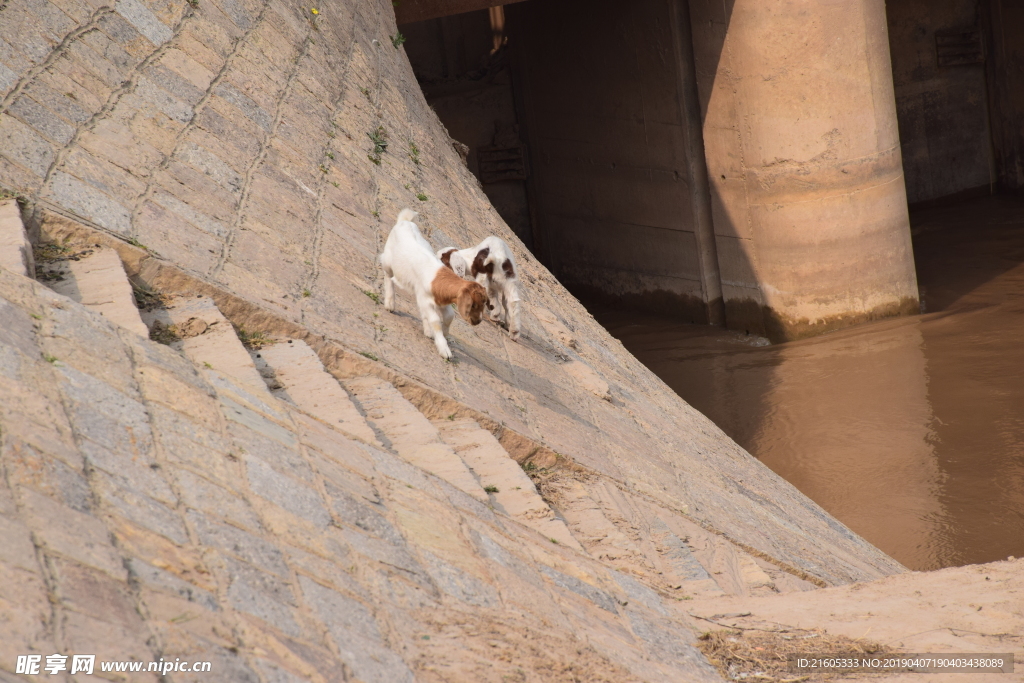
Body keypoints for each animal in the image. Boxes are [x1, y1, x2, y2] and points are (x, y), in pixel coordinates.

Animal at [380, 209, 487, 360]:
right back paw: (389, 304)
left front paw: (444, 333)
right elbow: (435, 321)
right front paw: (444, 350)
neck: (437, 279)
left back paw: (427, 331)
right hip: (388, 260)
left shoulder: (442, 301)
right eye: (473, 305)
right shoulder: (425, 299)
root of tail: (404, 221)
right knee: (388, 275)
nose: (478, 322)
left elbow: (449, 316)